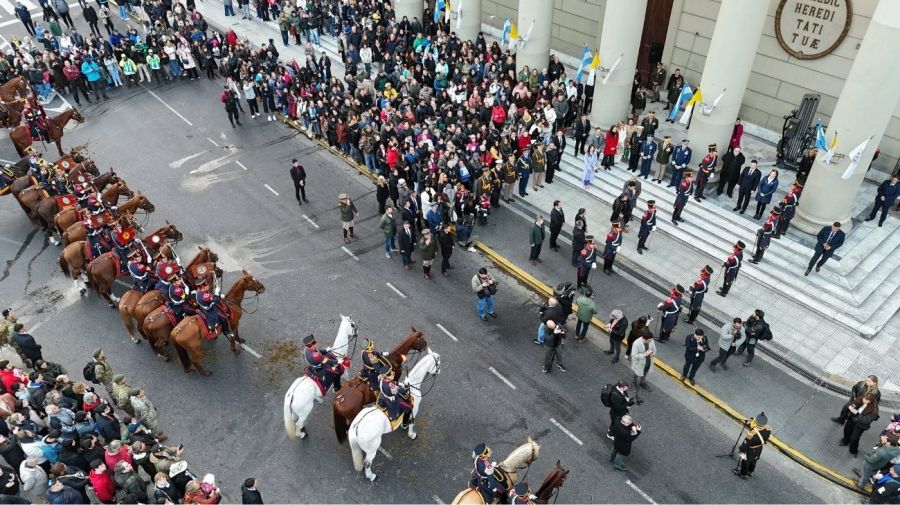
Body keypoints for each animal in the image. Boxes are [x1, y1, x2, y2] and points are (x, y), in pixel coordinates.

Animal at [346, 346, 442, 480]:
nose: (439, 371)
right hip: (372, 449)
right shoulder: (413, 410)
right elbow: (411, 423)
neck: (411, 387)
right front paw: (411, 434)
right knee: (367, 463)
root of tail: (356, 426)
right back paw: (371, 476)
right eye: (438, 362)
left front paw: (404, 425)